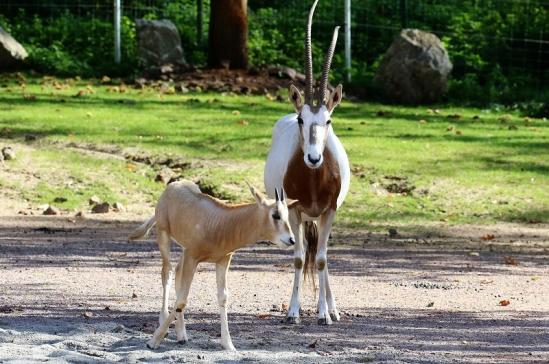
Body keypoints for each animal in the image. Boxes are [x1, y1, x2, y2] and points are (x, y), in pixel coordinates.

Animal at [128, 181, 296, 352]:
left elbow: (222, 297)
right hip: (164, 236)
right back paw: (164, 323)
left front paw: (228, 344)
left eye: (287, 215)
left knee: (177, 272)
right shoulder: (192, 257)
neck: (221, 223)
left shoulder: (222, 260)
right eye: (276, 215)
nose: (291, 240)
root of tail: (173, 185)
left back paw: (181, 334)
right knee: (167, 272)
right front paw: (153, 341)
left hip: (184, 250)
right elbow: (182, 299)